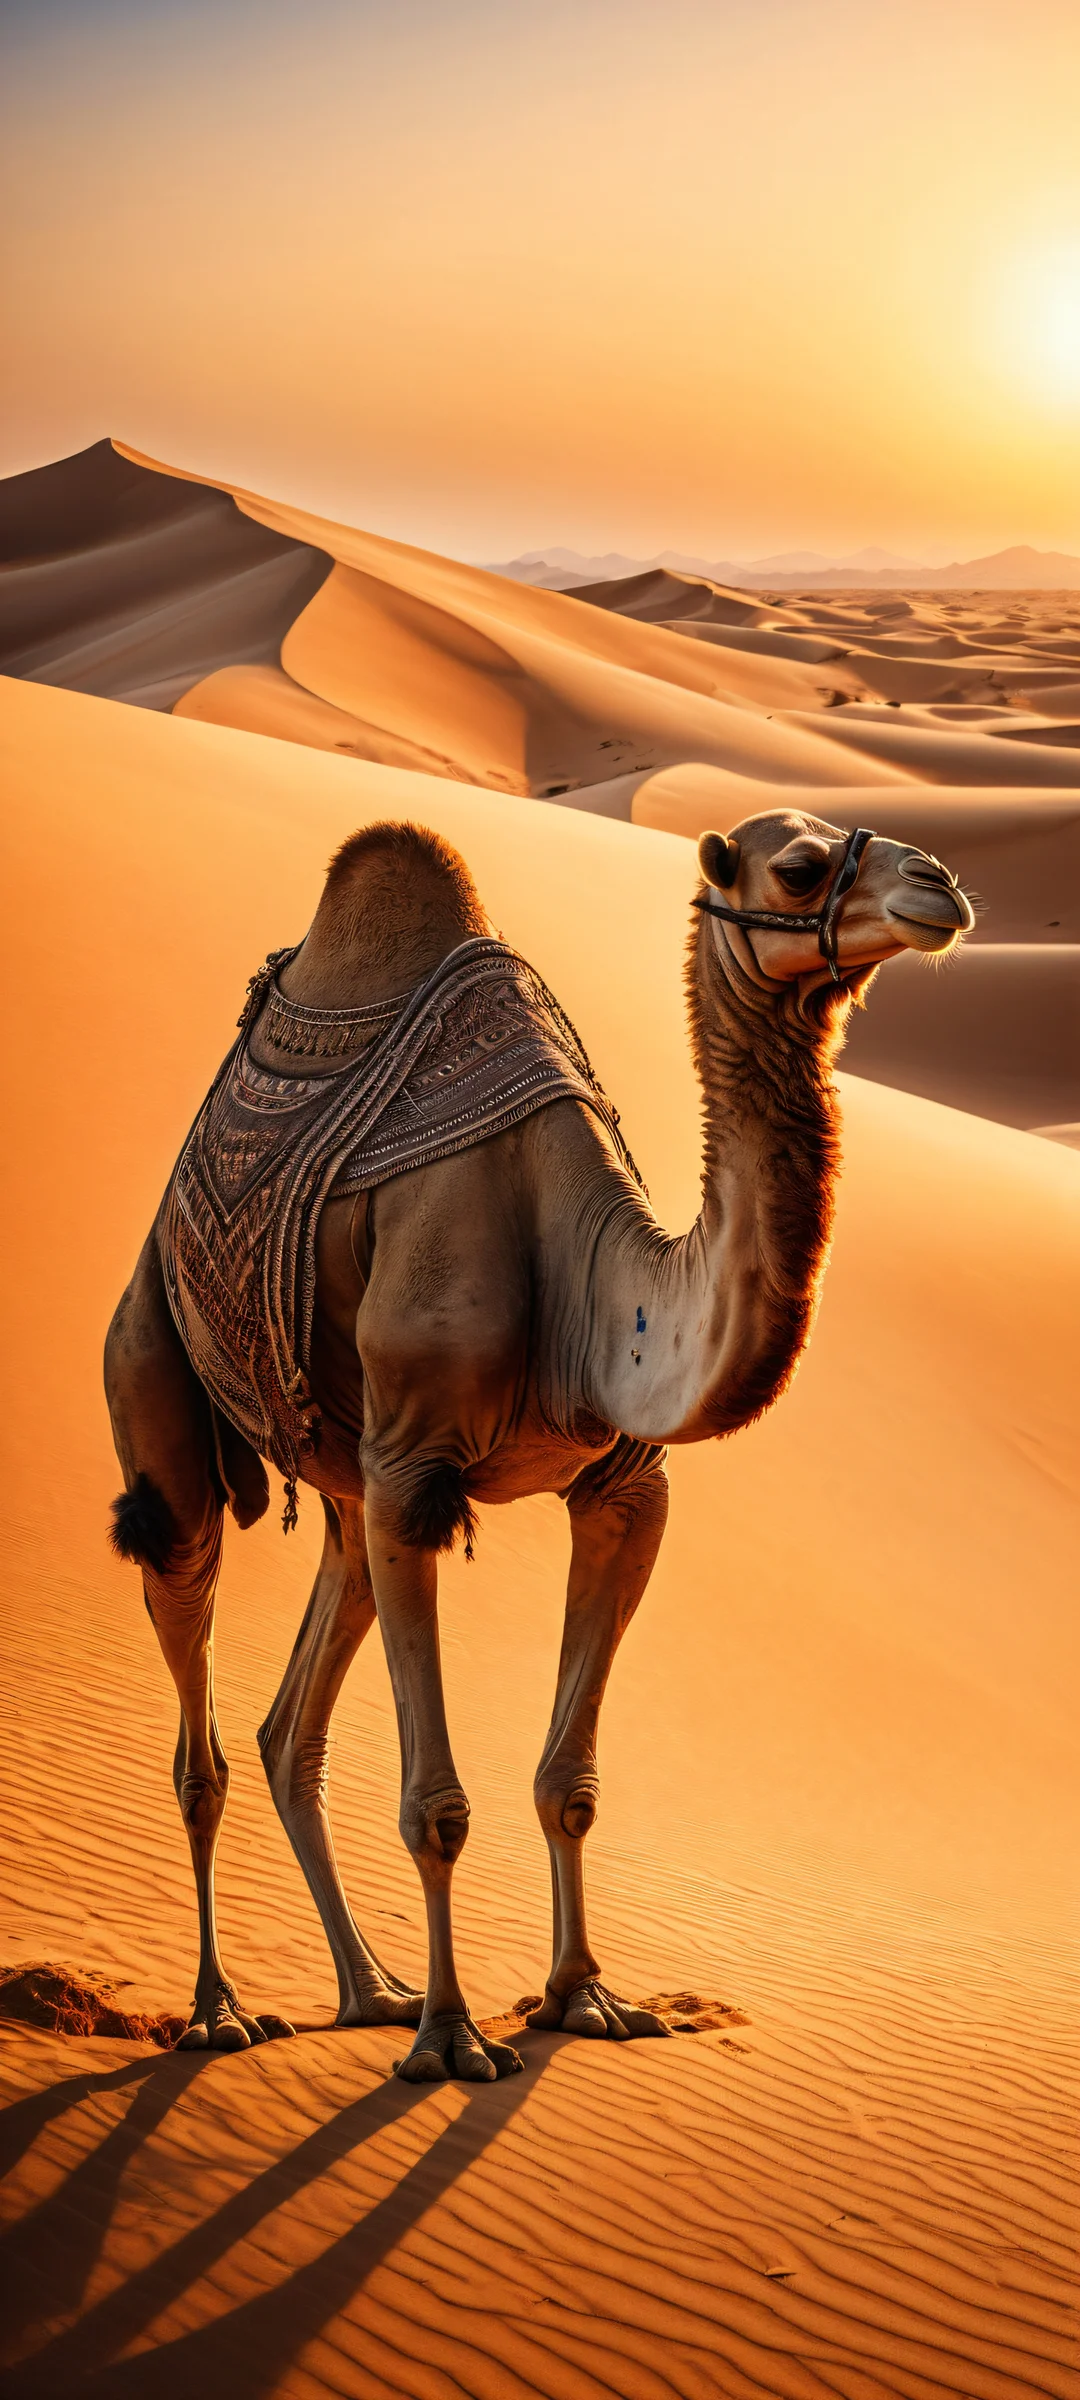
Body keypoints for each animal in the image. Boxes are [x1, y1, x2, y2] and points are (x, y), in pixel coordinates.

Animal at [105, 808, 972, 2080]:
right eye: (800, 867)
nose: (940, 885)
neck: (581, 1267)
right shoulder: (418, 1475)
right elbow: (437, 1806)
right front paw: (455, 2039)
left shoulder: (621, 1484)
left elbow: (570, 1784)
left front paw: (584, 1999)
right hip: (160, 1381)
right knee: (196, 1724)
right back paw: (224, 2012)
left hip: (349, 1490)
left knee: (289, 1725)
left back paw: (370, 1989)